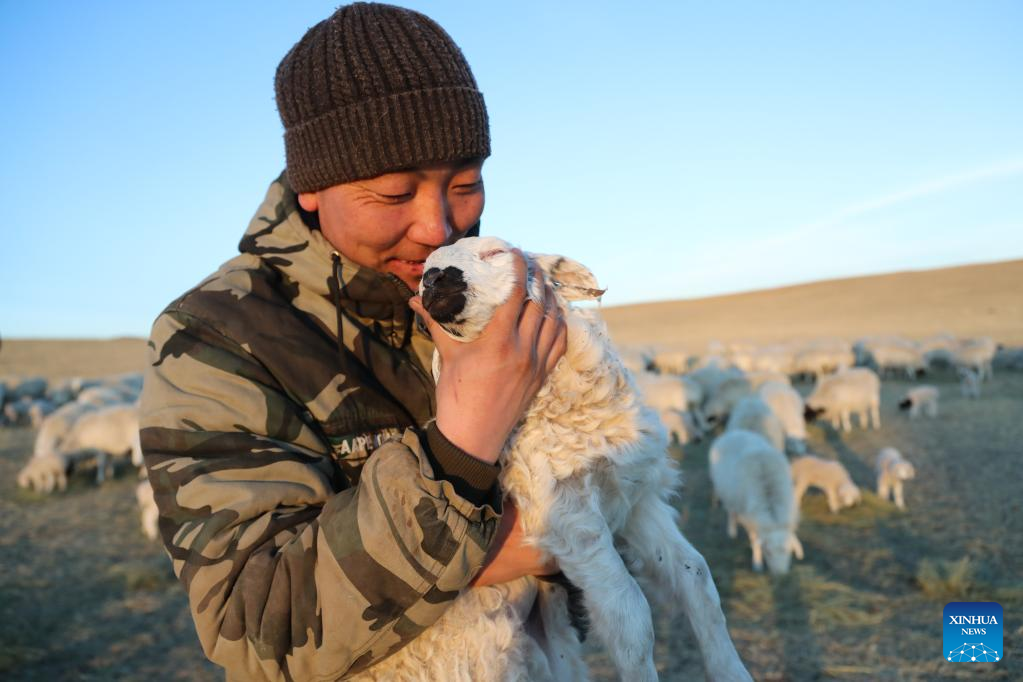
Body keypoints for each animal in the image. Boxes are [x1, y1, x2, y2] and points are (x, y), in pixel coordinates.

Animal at [360, 236, 752, 682]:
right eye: (423, 271)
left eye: (495, 253)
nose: (436, 279)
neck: (578, 416)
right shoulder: (568, 515)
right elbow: (631, 619)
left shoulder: (632, 500)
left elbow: (697, 578)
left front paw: (731, 671)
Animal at [707, 431, 802, 576]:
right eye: (768, 552)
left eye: (788, 550)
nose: (780, 575)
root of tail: (734, 432)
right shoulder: (750, 520)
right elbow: (754, 540)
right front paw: (757, 563)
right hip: (726, 492)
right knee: (730, 511)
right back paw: (732, 531)